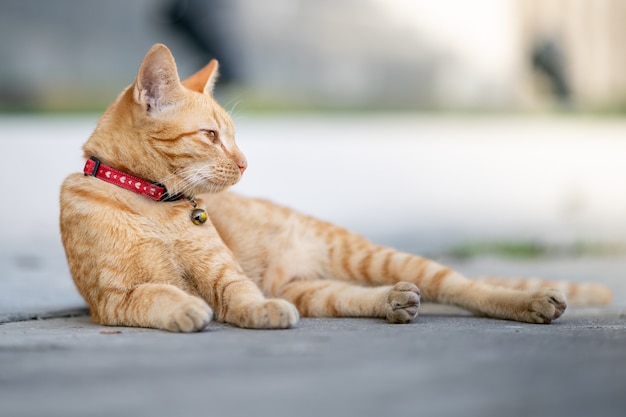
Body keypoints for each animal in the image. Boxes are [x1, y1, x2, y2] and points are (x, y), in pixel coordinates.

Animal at [59, 44, 608, 332]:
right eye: (211, 136)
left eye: (233, 137)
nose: (245, 162)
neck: (151, 200)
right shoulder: (111, 300)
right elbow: (155, 293)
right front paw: (185, 306)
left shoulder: (225, 273)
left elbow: (239, 294)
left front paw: (256, 310)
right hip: (312, 289)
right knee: (352, 297)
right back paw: (393, 302)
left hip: (368, 255)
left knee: (461, 286)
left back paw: (531, 302)